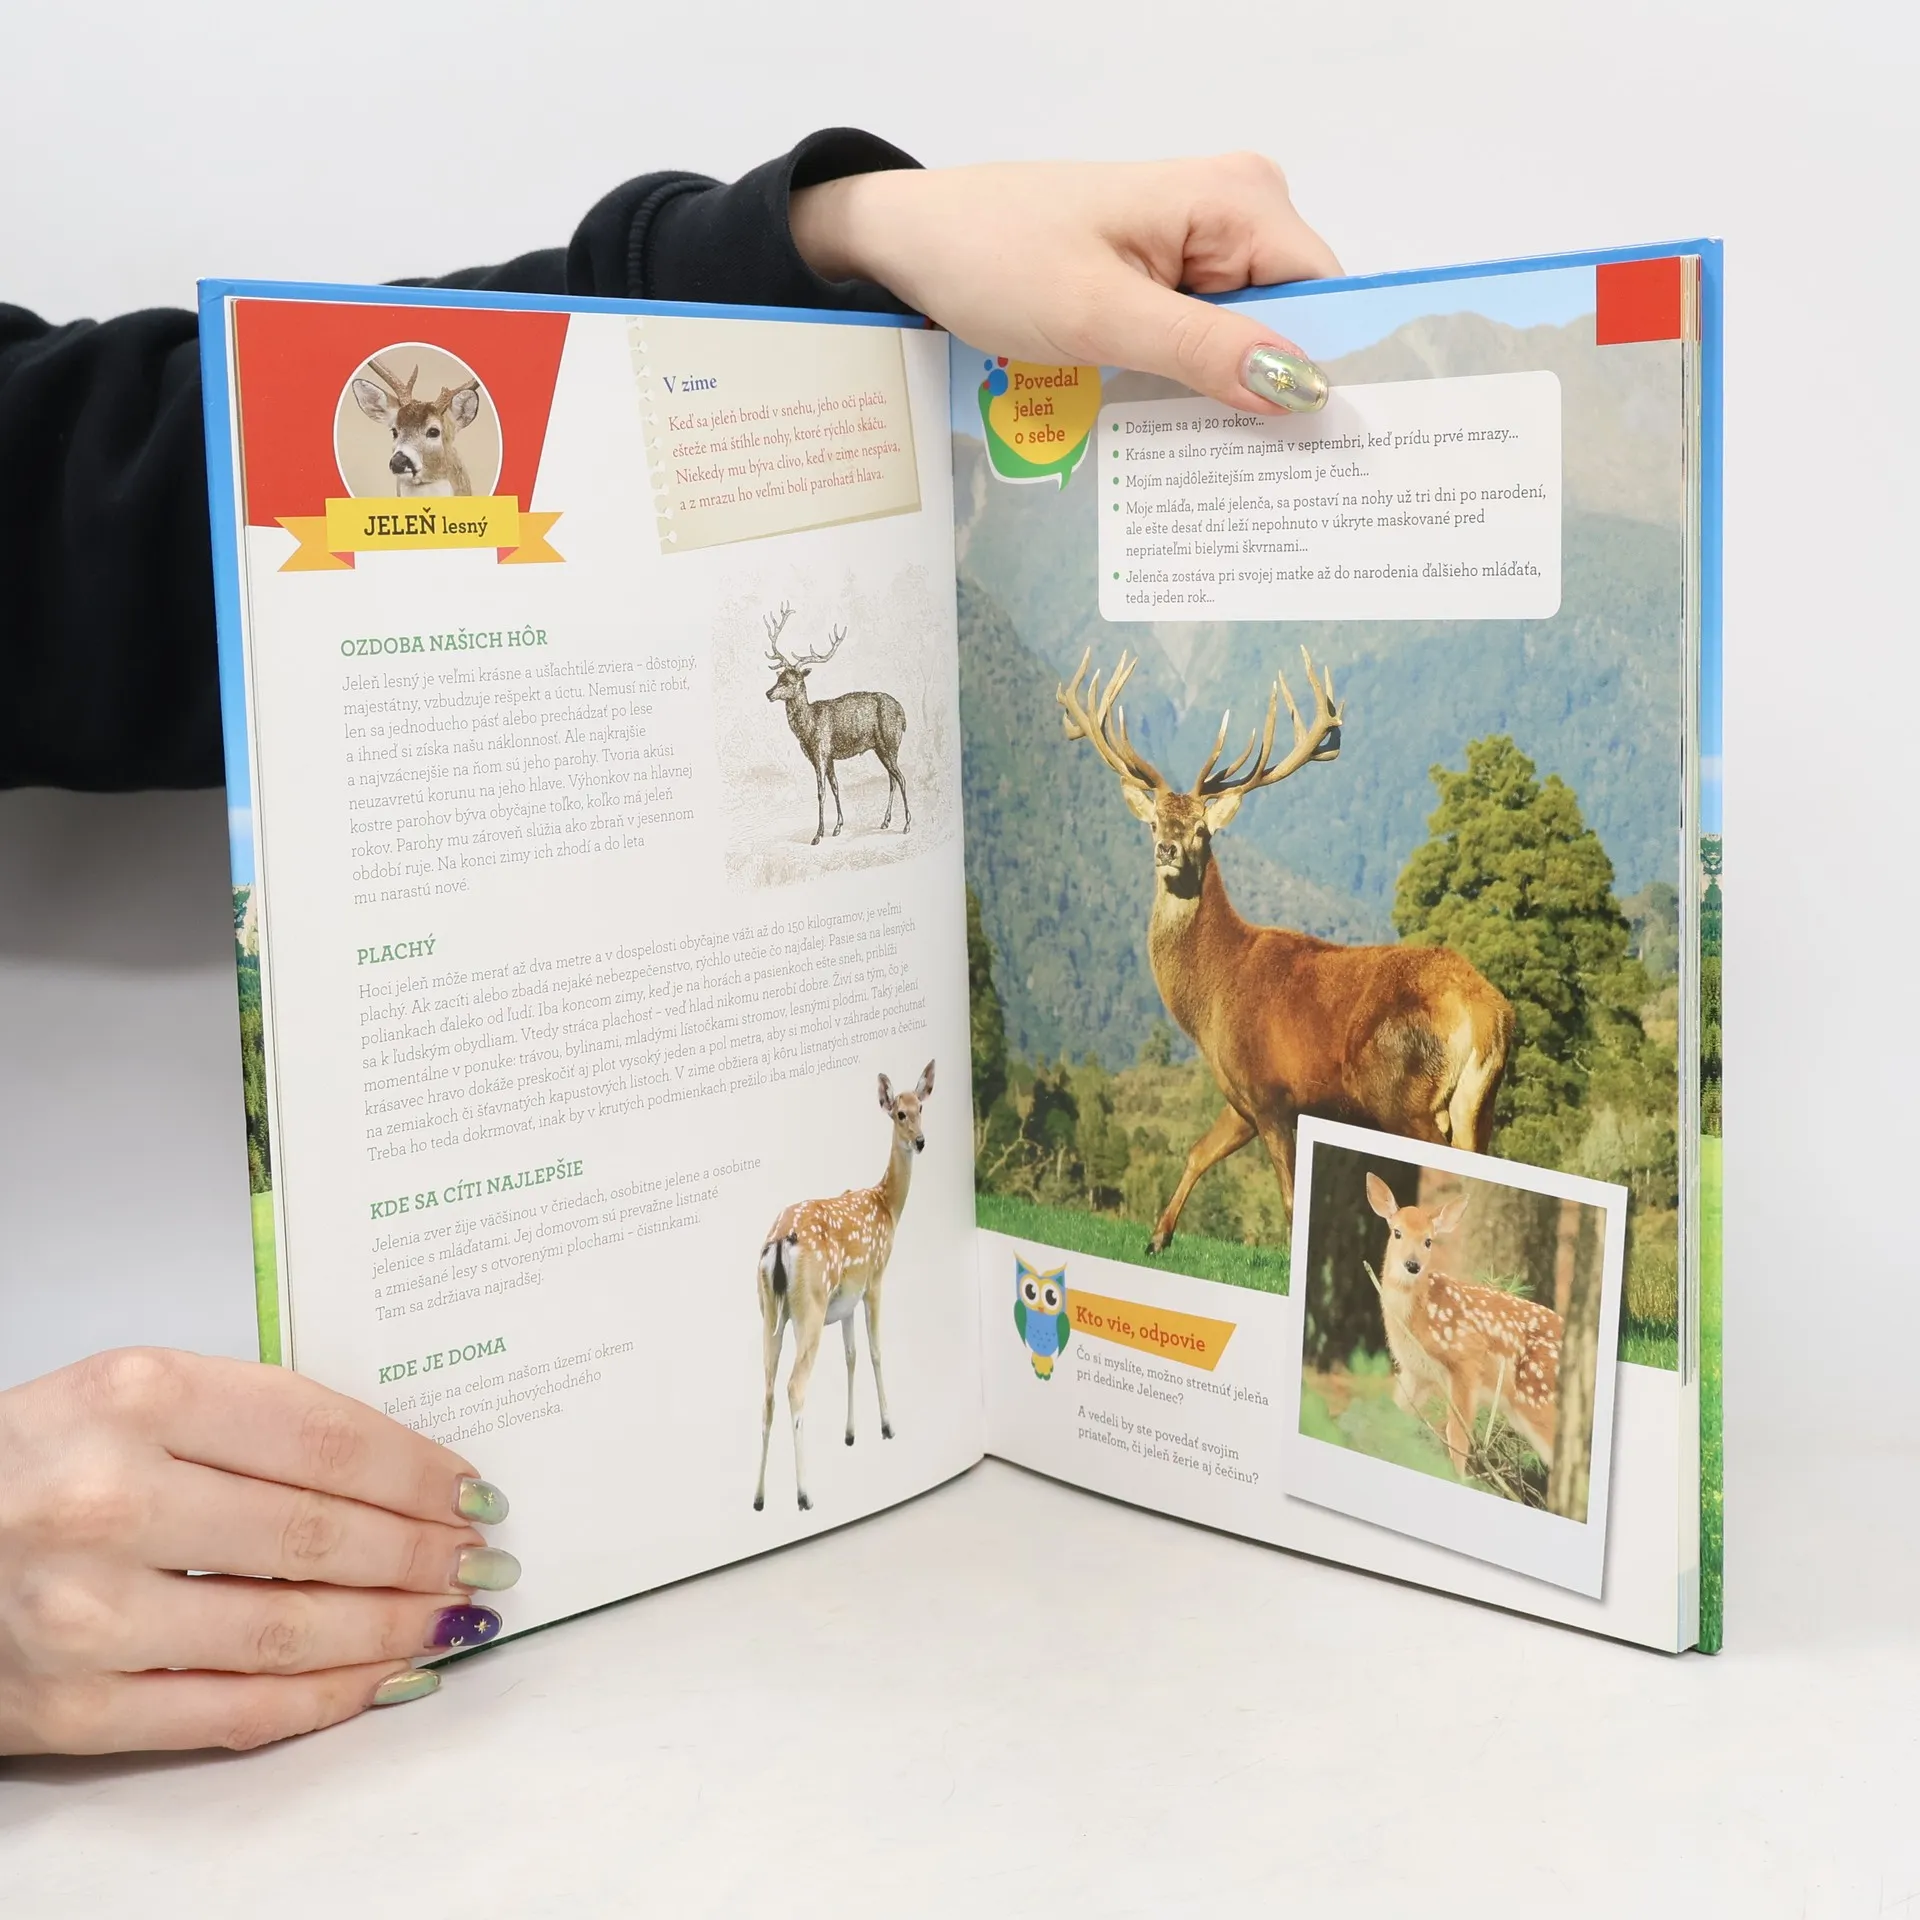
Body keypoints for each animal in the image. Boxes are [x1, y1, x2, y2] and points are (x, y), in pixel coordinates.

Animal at [754, 1062, 935, 1513]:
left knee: (766, 1391)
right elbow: (875, 1351)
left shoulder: (846, 1304)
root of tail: (779, 1242)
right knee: (794, 1386)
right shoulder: (875, 1278)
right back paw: (804, 1495)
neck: (887, 1206)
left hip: (769, 1312)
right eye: (899, 1114)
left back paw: (760, 1498)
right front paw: (887, 1425)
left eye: (921, 1106)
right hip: (810, 1307)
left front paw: (851, 1434)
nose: (921, 1141)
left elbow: (851, 1357)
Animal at [762, 603, 910, 846]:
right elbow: (835, 787)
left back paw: (907, 824)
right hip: (883, 748)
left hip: (890, 742)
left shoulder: (821, 751)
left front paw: (818, 834)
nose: (768, 693)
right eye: (778, 677)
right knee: (892, 778)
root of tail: (904, 714)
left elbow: (821, 791)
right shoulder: (828, 756)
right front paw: (838, 826)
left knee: (902, 778)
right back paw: (885, 821)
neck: (808, 728)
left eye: (790, 681)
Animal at [1059, 648, 1513, 1252]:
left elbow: (1293, 1198)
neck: (1210, 1000)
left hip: (1402, 1096)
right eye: (1155, 820)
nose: (1167, 849)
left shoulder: (1274, 1093)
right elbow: (1198, 1152)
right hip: (1478, 1107)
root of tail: (1488, 1015)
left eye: (1202, 830)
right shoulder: (1240, 1097)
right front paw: (1157, 1237)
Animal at [1364, 1173, 1562, 1473]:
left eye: (1428, 1241)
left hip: (1540, 1397)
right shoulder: (1416, 1373)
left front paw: (1457, 1477)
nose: (1412, 1265)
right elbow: (1394, 1419)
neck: (1417, 1322)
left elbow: (1457, 1437)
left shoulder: (1466, 1358)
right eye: (1397, 1232)